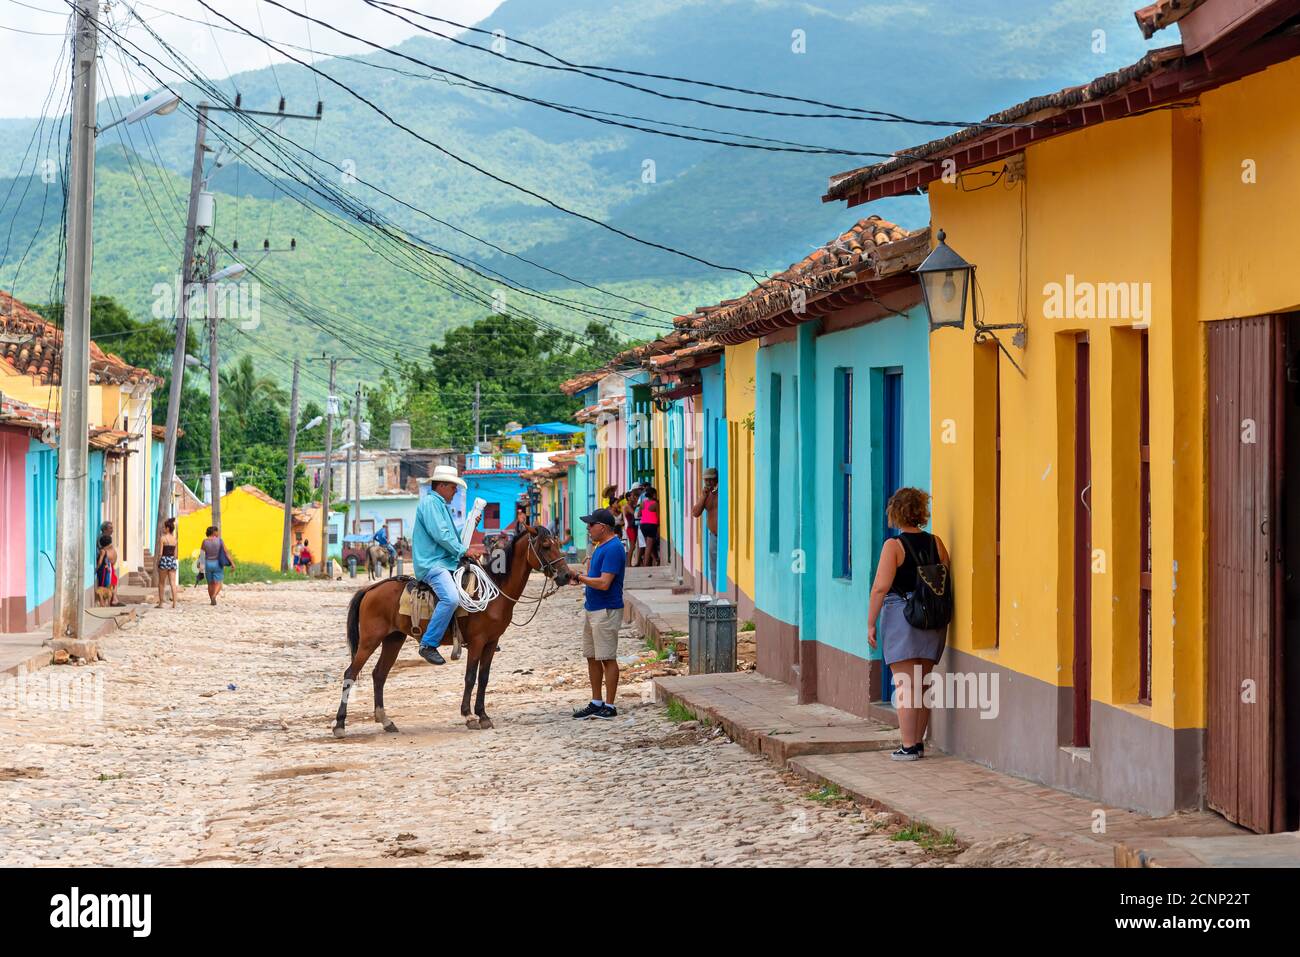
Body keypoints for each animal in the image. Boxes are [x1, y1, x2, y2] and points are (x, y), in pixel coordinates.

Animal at [333, 524, 571, 736]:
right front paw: (469, 716)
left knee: (379, 675)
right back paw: (340, 725)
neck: (495, 592)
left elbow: (484, 678)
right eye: (546, 546)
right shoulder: (477, 642)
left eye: (558, 544)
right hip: (370, 641)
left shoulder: (491, 642)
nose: (567, 576)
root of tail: (370, 589)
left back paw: (386, 721)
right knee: (350, 674)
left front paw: (483, 716)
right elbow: (470, 677)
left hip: (393, 639)